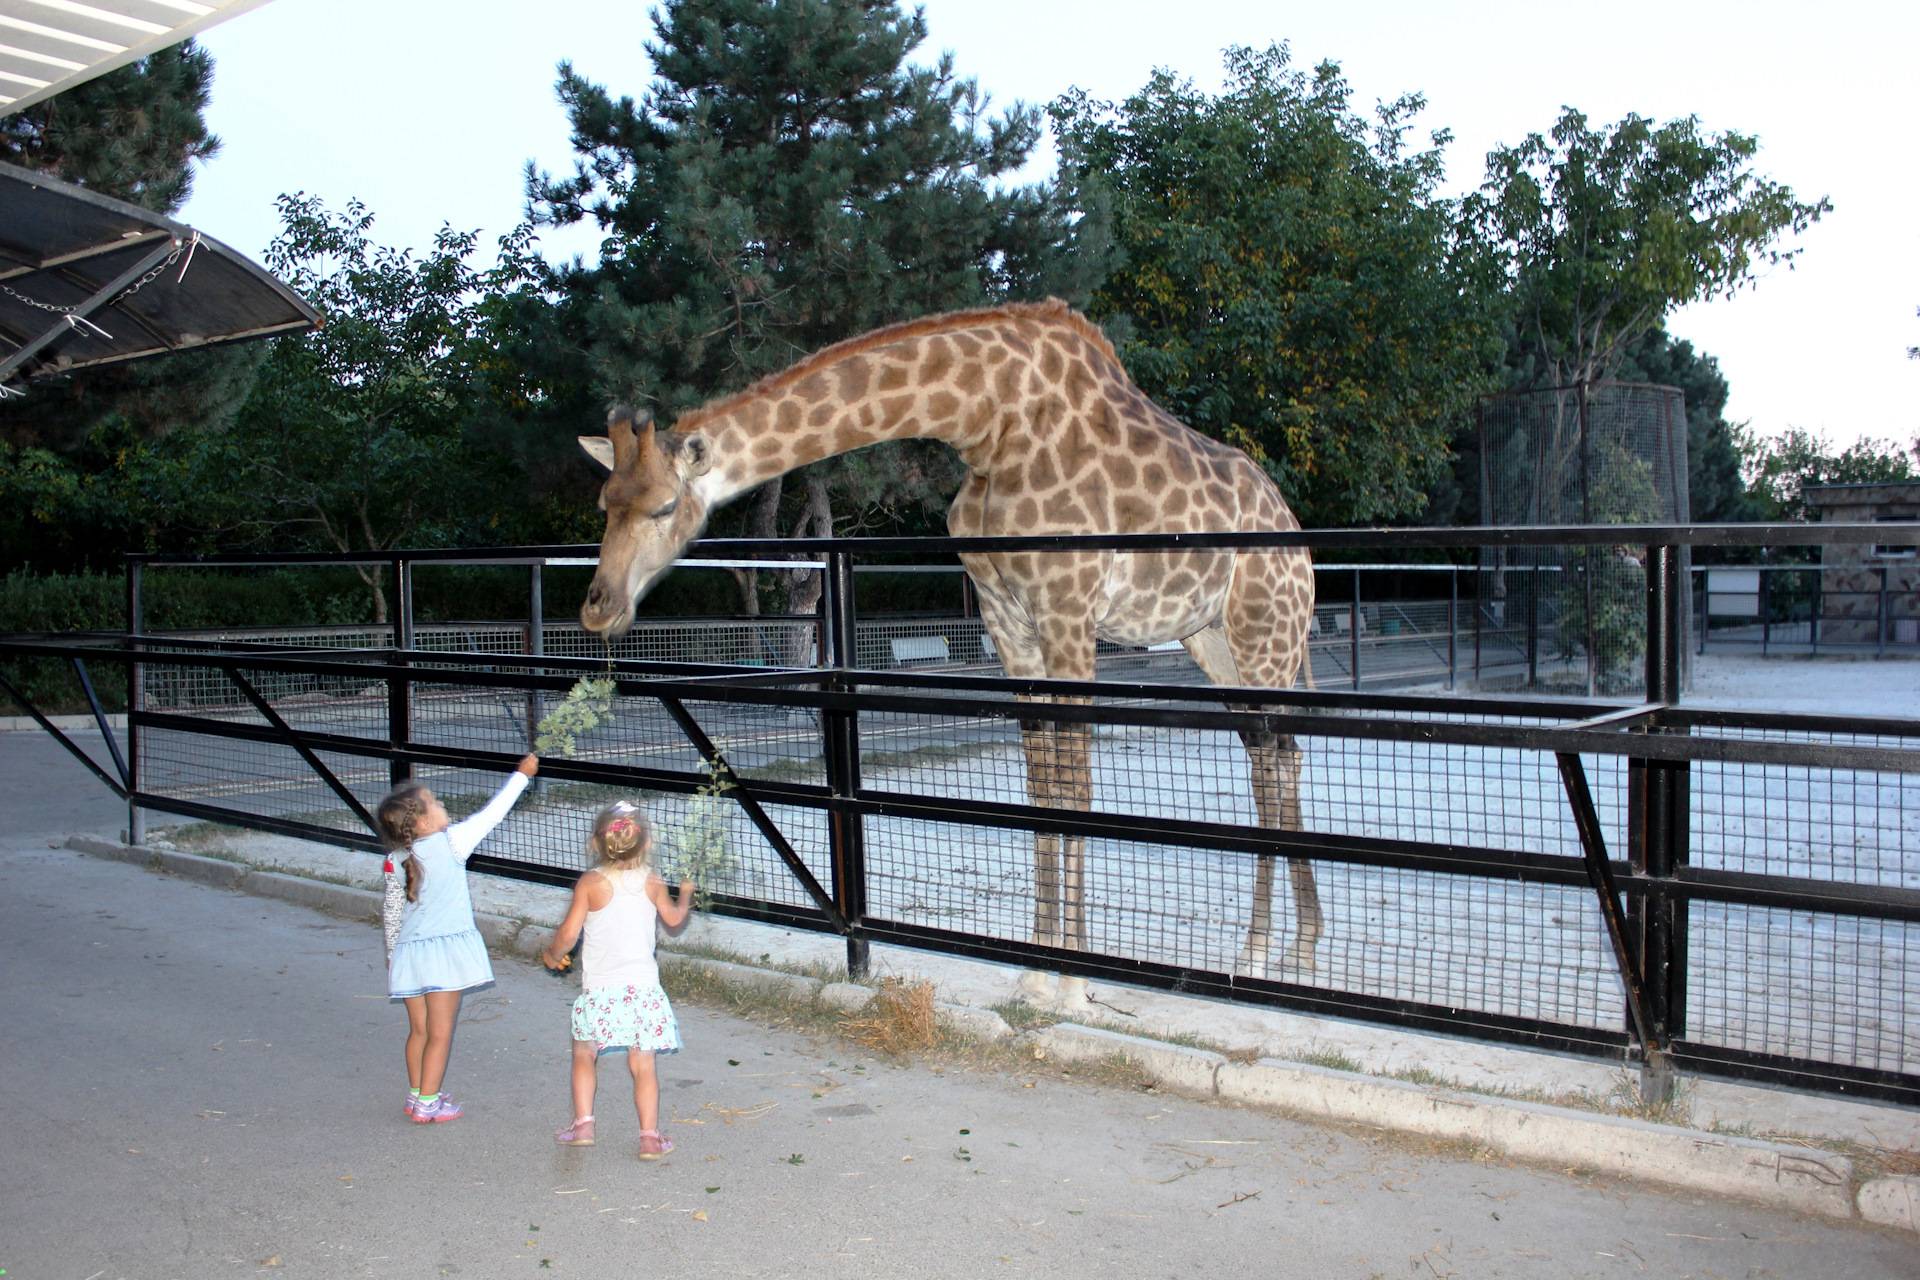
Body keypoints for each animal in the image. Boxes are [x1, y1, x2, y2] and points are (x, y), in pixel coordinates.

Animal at [568, 301, 1320, 990]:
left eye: (665, 507)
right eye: (604, 502)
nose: (597, 606)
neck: (987, 422)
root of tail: (1298, 536)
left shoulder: (1069, 608)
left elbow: (1074, 782)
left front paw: (1075, 980)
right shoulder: (1007, 616)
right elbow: (1040, 782)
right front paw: (1039, 967)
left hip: (1265, 632)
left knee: (1280, 756)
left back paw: (1279, 956)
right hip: (1211, 639)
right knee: (1271, 756)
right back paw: (1281, 949)